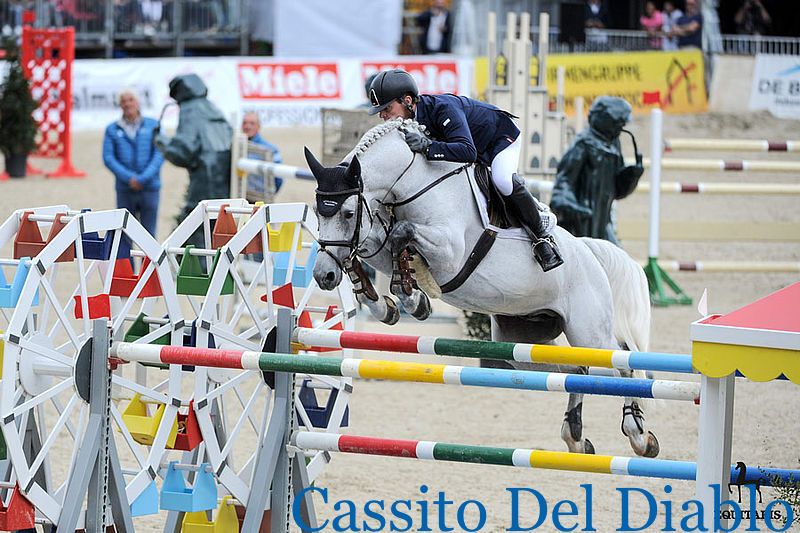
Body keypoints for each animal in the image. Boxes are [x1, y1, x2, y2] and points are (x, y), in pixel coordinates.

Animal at [304, 118, 658, 457]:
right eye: (319, 214)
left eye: (348, 212)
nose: (323, 276)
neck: (416, 181)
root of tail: (590, 251)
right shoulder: (380, 240)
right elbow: (373, 245)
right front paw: (386, 303)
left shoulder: (449, 252)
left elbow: (400, 234)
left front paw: (412, 297)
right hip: (523, 343)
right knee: (581, 370)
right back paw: (575, 437)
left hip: (589, 331)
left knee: (621, 368)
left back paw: (640, 435)